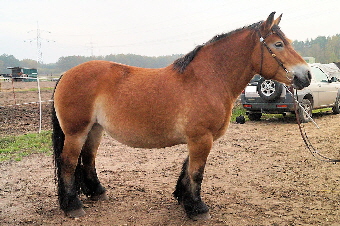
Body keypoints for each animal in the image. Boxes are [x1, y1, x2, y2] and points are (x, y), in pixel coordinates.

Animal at [52, 11, 310, 219]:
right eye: (278, 44)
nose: (306, 75)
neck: (207, 79)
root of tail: (66, 75)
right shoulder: (201, 138)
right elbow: (196, 172)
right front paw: (197, 209)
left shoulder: (199, 139)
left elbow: (188, 169)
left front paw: (183, 199)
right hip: (76, 132)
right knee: (68, 162)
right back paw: (73, 206)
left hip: (95, 129)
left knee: (88, 159)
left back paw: (97, 193)